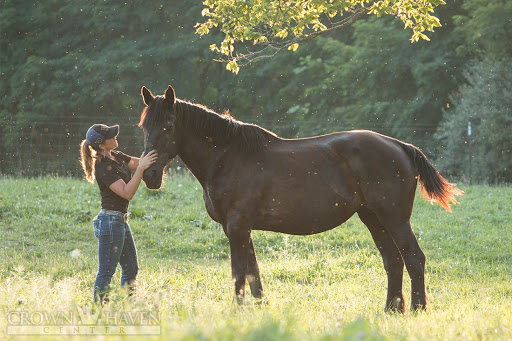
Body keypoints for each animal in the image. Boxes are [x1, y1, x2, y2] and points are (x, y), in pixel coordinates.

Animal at [138, 84, 462, 310]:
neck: (228, 156)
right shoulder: (240, 229)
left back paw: (418, 308)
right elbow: (253, 271)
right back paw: (391, 310)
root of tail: (401, 146)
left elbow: (239, 273)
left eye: (168, 126)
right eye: (144, 127)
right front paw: (260, 307)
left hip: (395, 219)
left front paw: (239, 310)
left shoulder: (237, 227)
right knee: (394, 261)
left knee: (414, 258)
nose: (149, 175)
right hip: (373, 218)